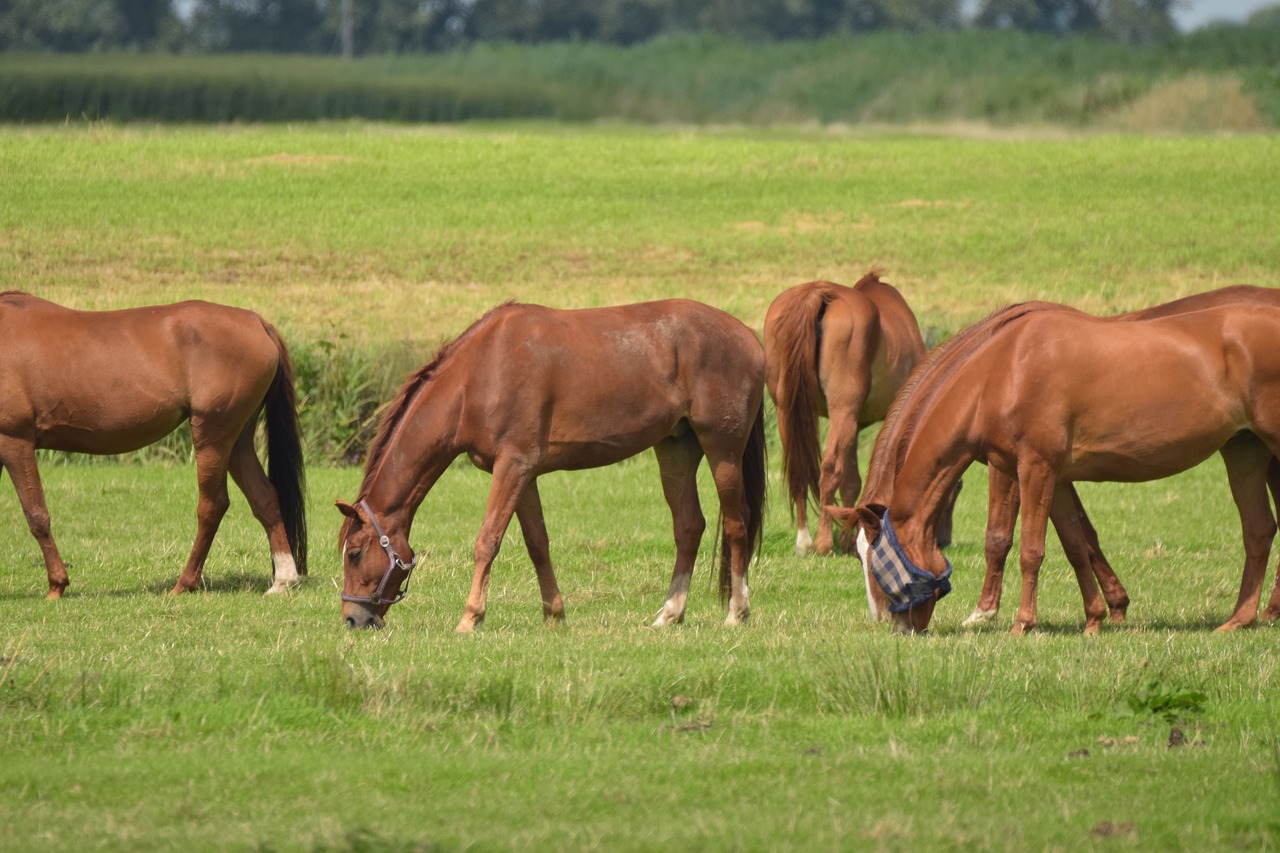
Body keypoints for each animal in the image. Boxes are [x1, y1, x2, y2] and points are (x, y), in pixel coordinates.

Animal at [0, 292, 308, 596]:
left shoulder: (15, 442)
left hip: (213, 435)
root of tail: (257, 322)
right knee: (264, 498)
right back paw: (283, 580)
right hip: (238, 441)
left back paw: (184, 583)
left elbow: (36, 514)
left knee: (213, 506)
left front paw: (57, 585)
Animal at [335, 298, 762, 630]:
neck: (479, 374)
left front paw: (470, 618)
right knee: (689, 526)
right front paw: (554, 615)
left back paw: (737, 612)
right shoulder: (522, 475)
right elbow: (537, 543)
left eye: (354, 553)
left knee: (737, 523)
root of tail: (748, 336)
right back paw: (669, 614)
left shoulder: (513, 466)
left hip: (722, 450)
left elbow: (487, 541)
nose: (353, 619)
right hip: (676, 449)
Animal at [762, 268, 926, 555]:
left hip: (791, 411)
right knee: (828, 469)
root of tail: (819, 293)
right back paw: (823, 542)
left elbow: (851, 480)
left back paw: (805, 540)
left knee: (799, 469)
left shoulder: (855, 423)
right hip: (841, 412)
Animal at [834, 297, 1280, 630]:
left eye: (872, 559)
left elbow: (1024, 546)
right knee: (1259, 529)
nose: (894, 624)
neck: (1001, 371)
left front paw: (1014, 621)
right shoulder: (1053, 476)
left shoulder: (1033, 468)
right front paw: (1096, 618)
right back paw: (1241, 619)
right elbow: (1076, 544)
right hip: (1245, 450)